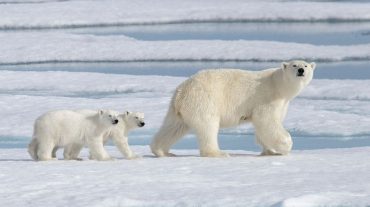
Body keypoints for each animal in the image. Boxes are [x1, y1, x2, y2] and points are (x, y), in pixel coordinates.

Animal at [150, 59, 316, 157]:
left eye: (306, 65)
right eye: (295, 65)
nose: (301, 70)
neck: (278, 85)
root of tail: (182, 91)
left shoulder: (282, 103)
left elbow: (263, 126)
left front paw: (269, 151)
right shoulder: (267, 98)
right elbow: (266, 121)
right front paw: (285, 146)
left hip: (178, 109)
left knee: (173, 127)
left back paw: (162, 151)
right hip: (204, 101)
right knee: (208, 126)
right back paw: (218, 153)